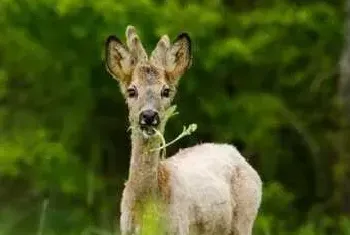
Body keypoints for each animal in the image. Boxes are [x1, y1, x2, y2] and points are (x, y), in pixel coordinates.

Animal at [104, 25, 262, 235]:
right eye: (131, 90)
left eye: (165, 91)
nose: (149, 116)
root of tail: (235, 152)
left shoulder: (180, 227)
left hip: (246, 215)